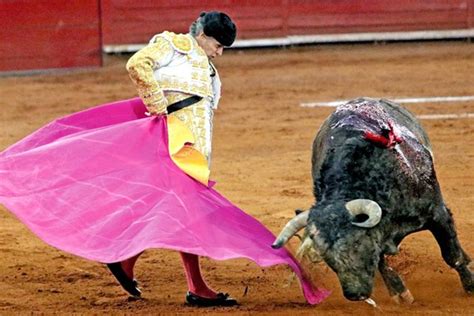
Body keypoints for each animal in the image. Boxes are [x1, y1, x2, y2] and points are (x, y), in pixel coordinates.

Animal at [272, 97, 472, 302]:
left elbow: (452, 255)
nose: (354, 294)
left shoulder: (438, 214)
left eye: (356, 243)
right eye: (326, 255)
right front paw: (399, 292)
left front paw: (470, 285)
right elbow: (380, 259)